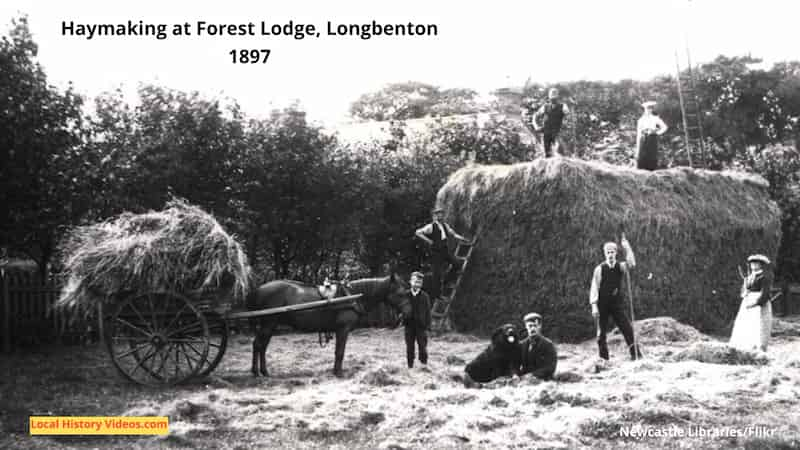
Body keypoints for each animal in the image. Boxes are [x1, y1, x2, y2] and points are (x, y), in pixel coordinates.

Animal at [247, 272, 412, 378]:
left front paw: (335, 371)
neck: (352, 297)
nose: (408, 313)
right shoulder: (343, 330)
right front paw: (338, 372)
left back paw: (264, 371)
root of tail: (258, 289)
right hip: (268, 324)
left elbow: (338, 352)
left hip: (270, 325)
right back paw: (256, 372)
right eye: (401, 293)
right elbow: (340, 352)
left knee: (262, 346)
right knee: (258, 345)